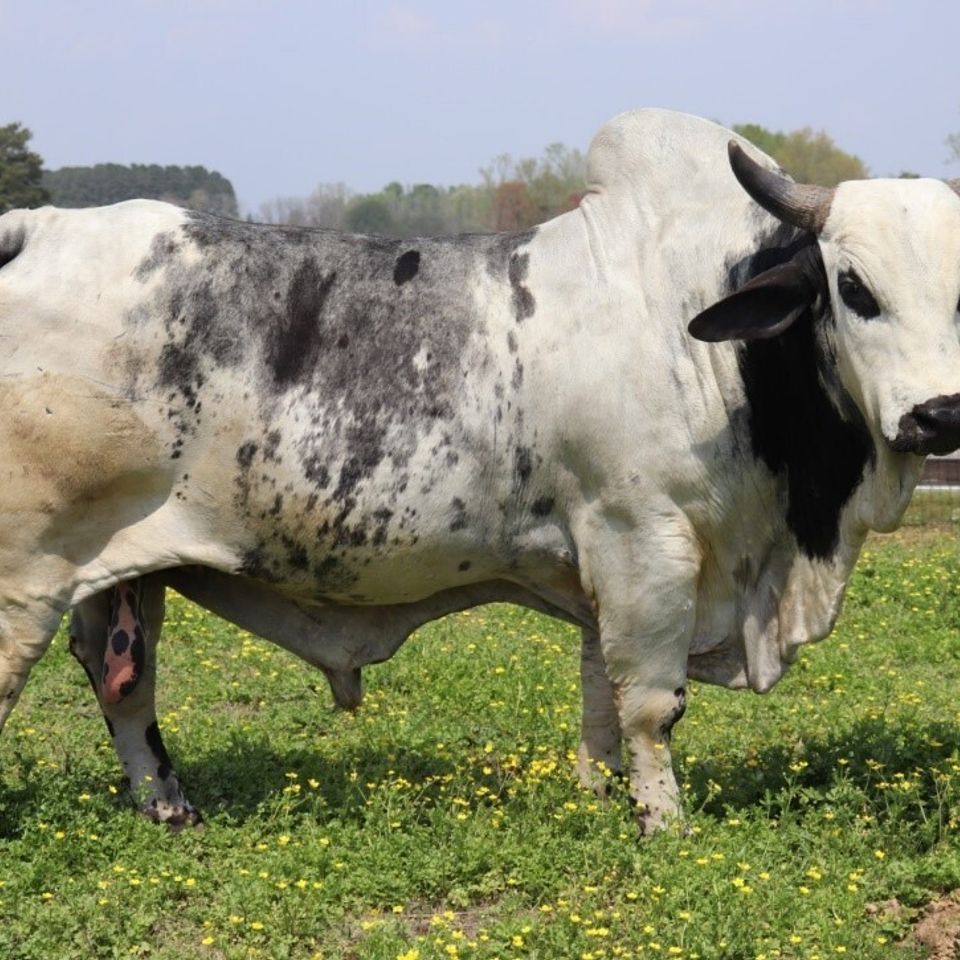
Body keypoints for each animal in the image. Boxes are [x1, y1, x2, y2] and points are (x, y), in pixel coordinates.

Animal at [2, 108, 960, 835]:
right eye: (853, 286)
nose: (938, 413)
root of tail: (42, 227)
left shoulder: (602, 566)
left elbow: (600, 696)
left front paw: (595, 799)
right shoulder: (643, 542)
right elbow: (650, 702)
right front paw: (665, 825)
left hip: (117, 566)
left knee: (124, 683)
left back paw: (170, 807)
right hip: (27, 572)